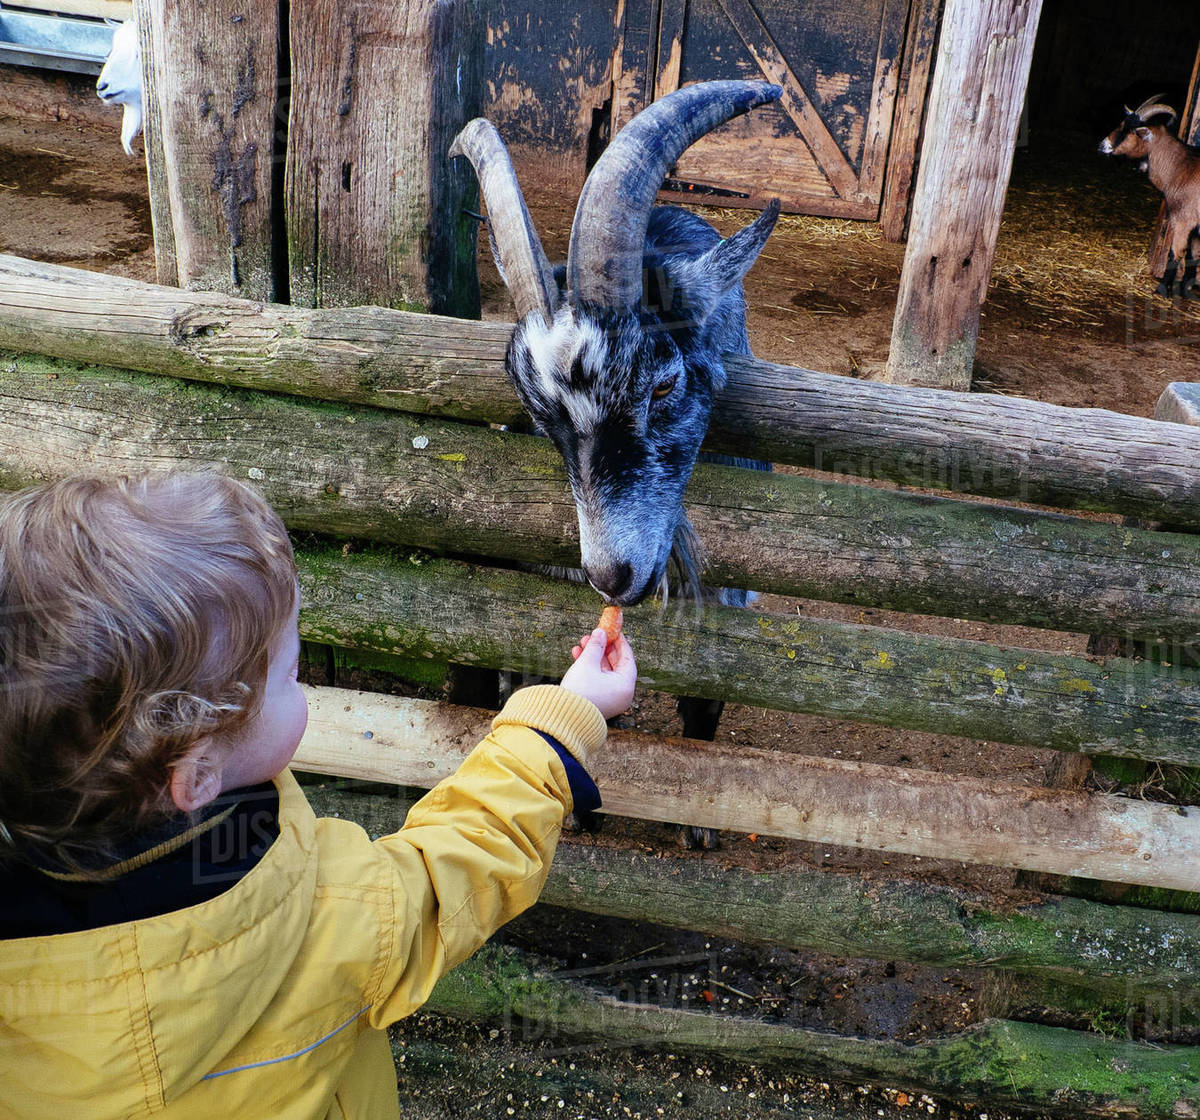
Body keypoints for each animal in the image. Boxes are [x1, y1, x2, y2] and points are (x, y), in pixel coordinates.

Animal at [1100, 95, 1200, 297]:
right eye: (1122, 123)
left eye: (1131, 131)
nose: (1102, 145)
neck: (1182, 167)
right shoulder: (1195, 229)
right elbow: (1193, 255)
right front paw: (1185, 289)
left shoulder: (1184, 219)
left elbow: (1176, 252)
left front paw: (1162, 289)